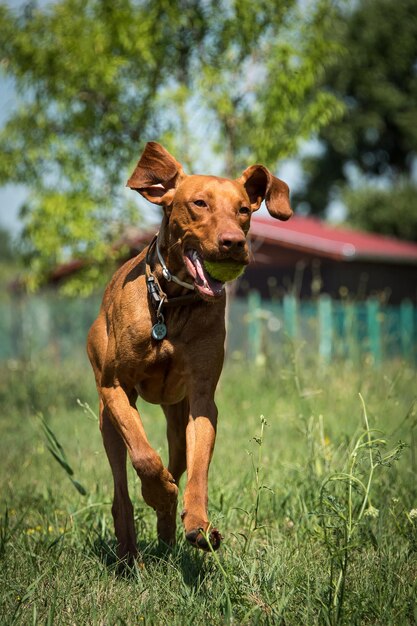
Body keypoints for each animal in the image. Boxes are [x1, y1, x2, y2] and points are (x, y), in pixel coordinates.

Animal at [86, 139, 290, 560]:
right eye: (199, 203)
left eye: (244, 209)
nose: (234, 243)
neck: (172, 302)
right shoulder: (115, 389)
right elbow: (144, 456)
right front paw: (160, 493)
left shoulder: (201, 400)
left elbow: (197, 473)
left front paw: (197, 524)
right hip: (106, 417)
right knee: (121, 490)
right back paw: (130, 553)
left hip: (176, 417)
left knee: (178, 460)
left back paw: (166, 532)